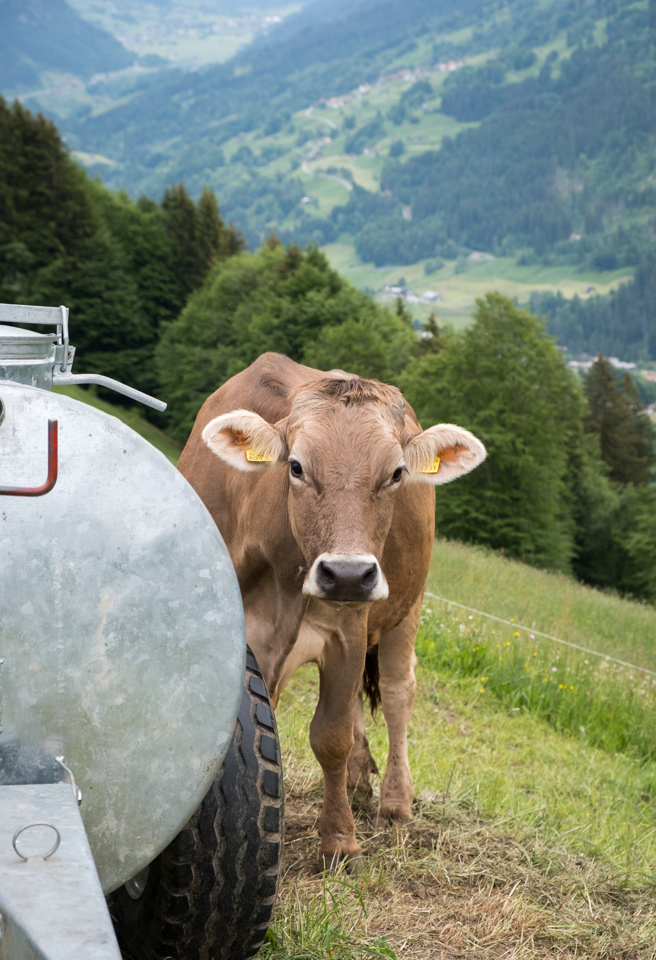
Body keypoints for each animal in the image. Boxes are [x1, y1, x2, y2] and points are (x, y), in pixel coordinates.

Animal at [178, 353, 485, 868]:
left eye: (396, 473)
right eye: (297, 466)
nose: (346, 574)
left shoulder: (348, 631)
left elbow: (331, 735)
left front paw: (339, 840)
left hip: (406, 607)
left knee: (398, 693)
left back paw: (395, 800)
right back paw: (361, 781)